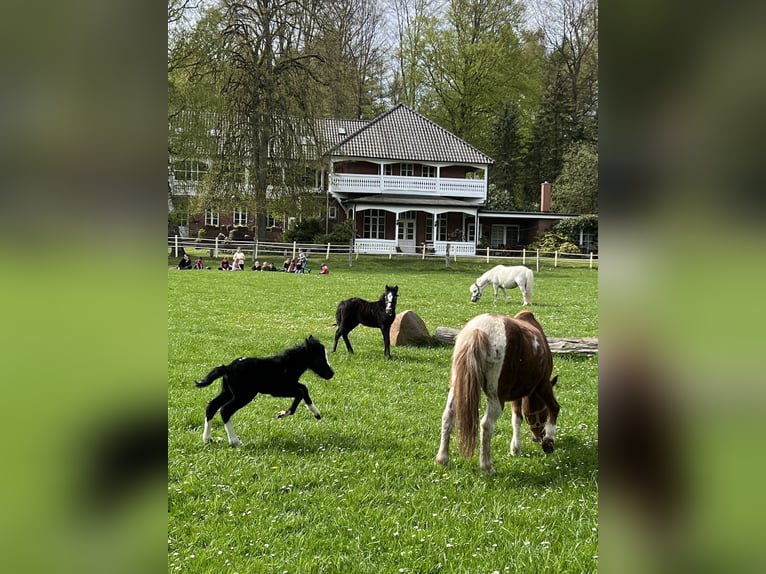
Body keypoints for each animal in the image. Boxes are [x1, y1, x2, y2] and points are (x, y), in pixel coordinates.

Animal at [194, 336, 334, 448]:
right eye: (319, 358)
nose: (331, 374)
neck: (286, 365)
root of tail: (227, 368)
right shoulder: (279, 390)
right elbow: (300, 392)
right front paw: (282, 413)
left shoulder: (291, 385)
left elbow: (304, 389)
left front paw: (316, 413)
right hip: (244, 395)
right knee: (225, 410)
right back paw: (235, 442)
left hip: (228, 392)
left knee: (211, 406)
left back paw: (207, 439)